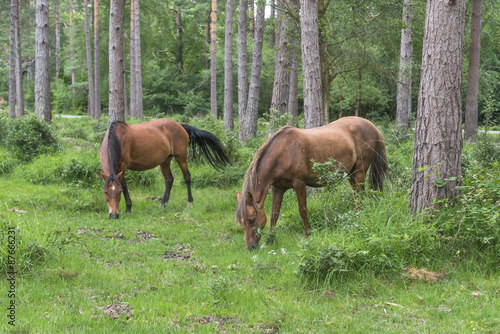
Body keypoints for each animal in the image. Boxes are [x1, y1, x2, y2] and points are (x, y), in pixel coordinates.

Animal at [100, 118, 229, 219]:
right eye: (105, 192)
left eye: (119, 192)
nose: (113, 215)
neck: (117, 139)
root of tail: (180, 125)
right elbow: (125, 185)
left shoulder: (123, 167)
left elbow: (125, 186)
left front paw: (128, 208)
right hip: (165, 161)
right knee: (169, 180)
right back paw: (163, 204)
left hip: (181, 157)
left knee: (187, 177)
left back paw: (189, 202)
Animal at [234, 117, 386, 250]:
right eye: (242, 222)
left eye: (251, 219)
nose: (251, 247)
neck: (282, 153)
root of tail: (375, 128)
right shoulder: (278, 188)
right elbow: (274, 214)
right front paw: (269, 241)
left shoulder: (299, 184)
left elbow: (303, 210)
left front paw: (306, 235)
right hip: (351, 173)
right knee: (357, 196)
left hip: (359, 171)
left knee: (359, 196)